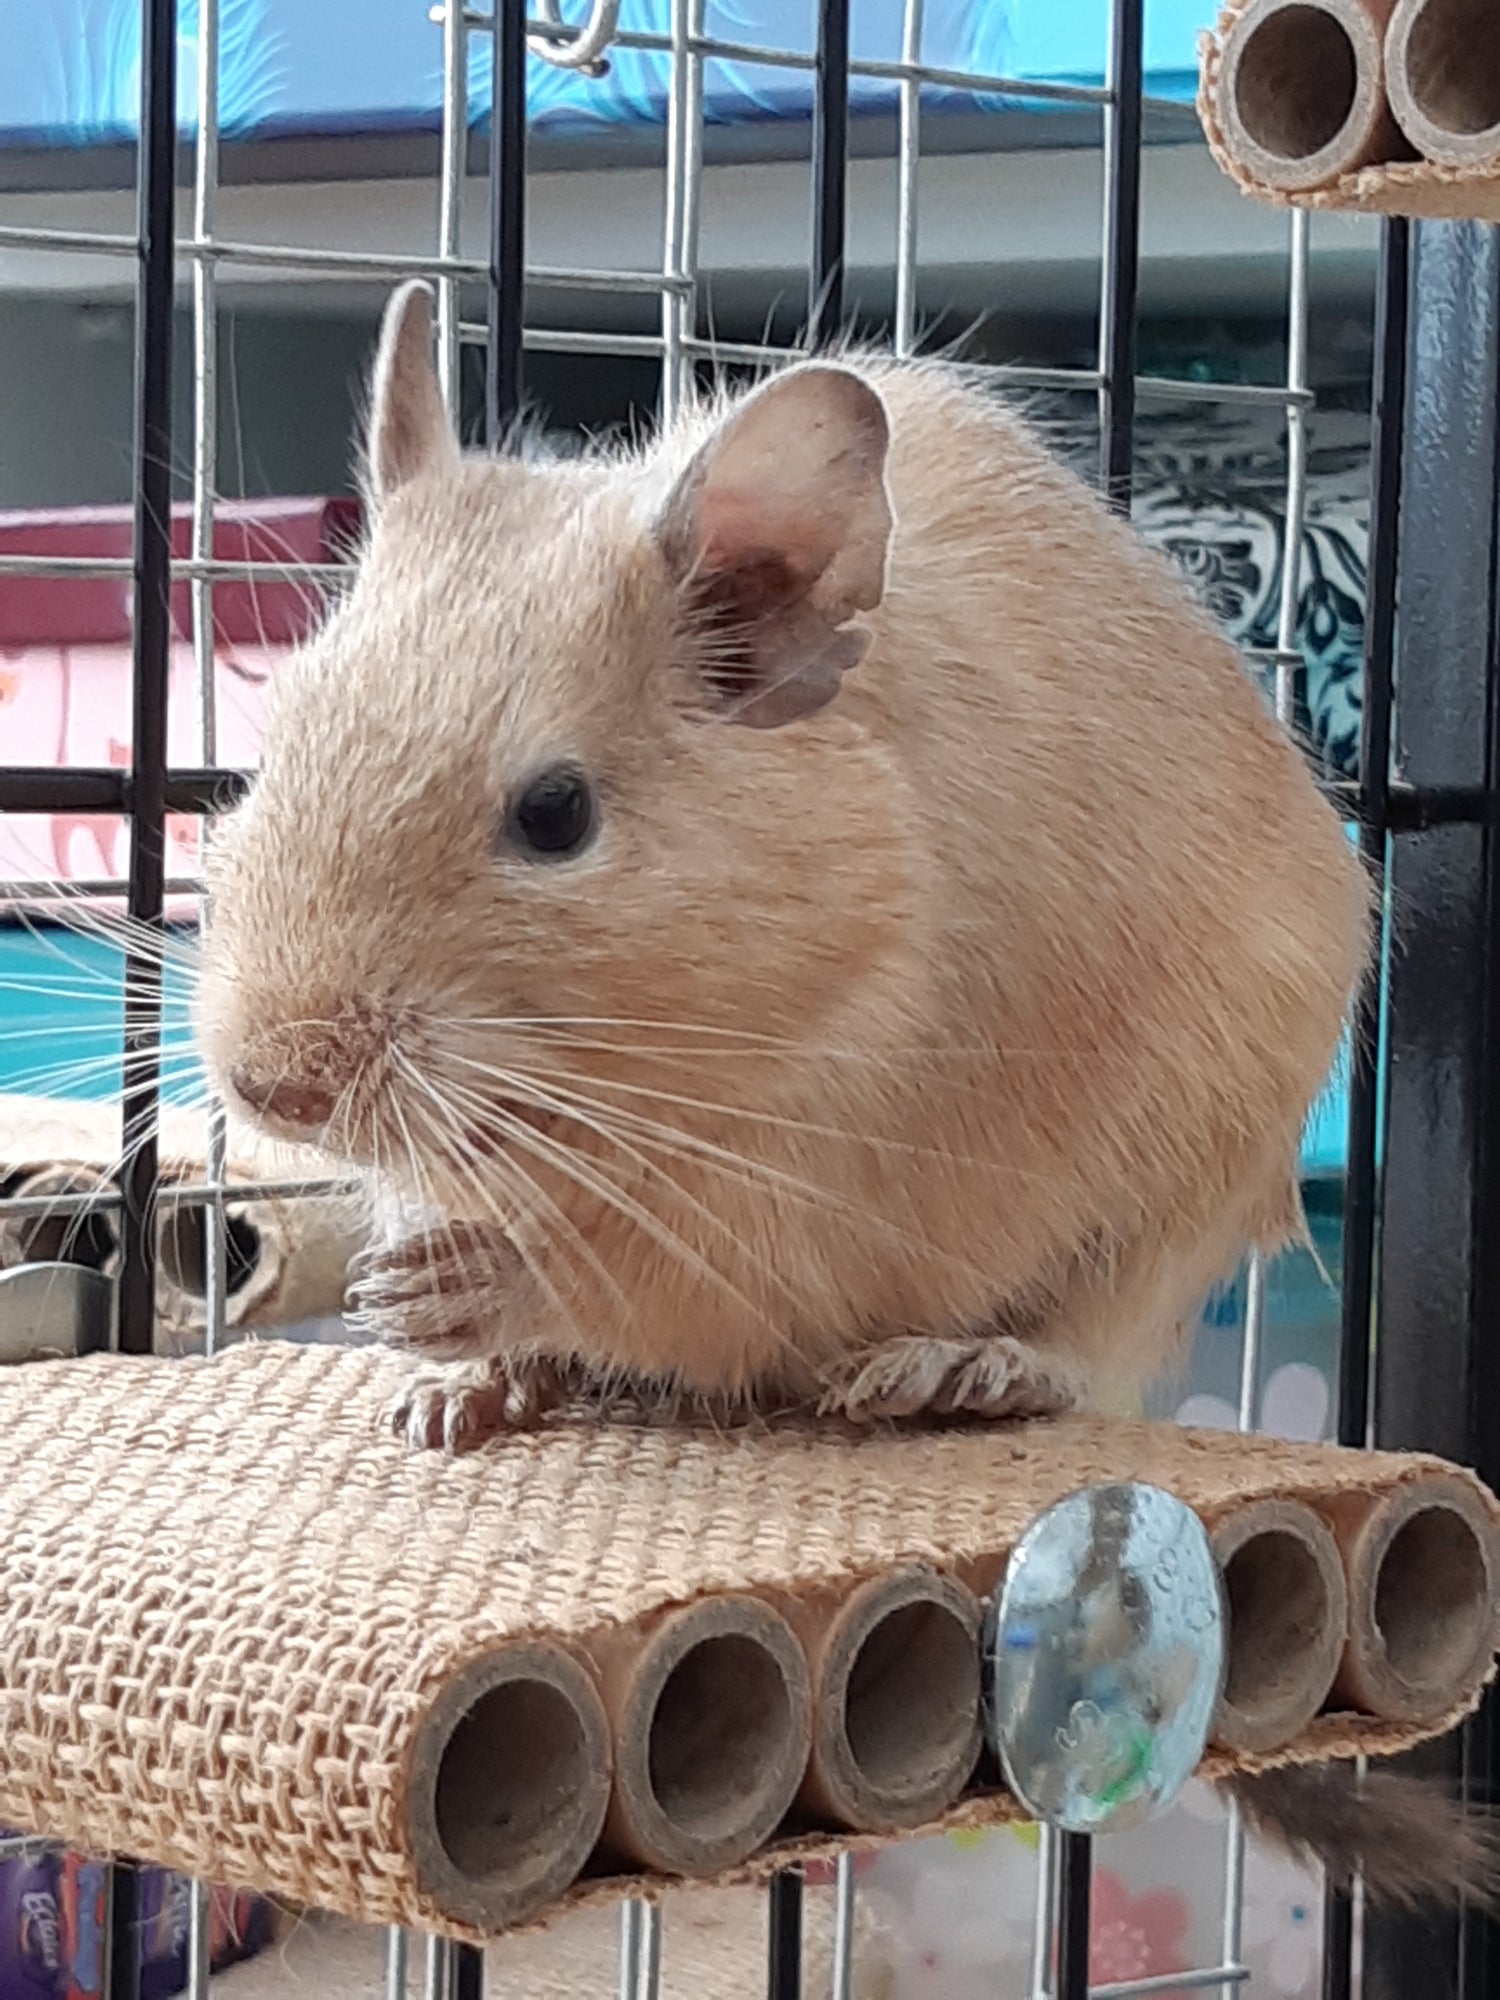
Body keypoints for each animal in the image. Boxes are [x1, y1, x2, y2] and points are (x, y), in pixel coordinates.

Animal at [195, 279, 1367, 1452]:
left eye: (556, 814)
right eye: (274, 744)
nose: (275, 1088)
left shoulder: (807, 1191)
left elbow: (641, 1281)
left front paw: (425, 1295)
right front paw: (415, 1347)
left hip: (1193, 1192)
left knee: (1087, 1351)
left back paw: (951, 1370)